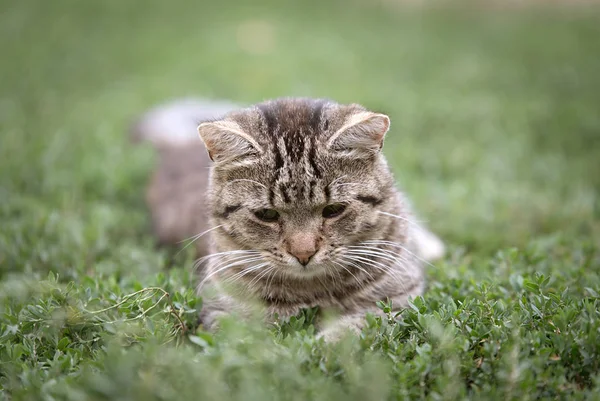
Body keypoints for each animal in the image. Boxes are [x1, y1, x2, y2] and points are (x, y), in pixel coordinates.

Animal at [131, 96, 442, 338]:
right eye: (267, 214)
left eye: (333, 210)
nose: (304, 253)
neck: (310, 295)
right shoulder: (219, 310)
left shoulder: (400, 299)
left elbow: (356, 326)